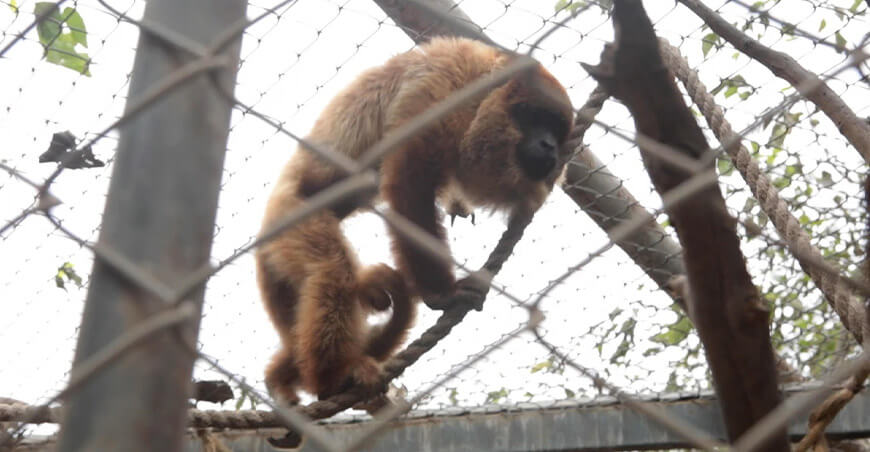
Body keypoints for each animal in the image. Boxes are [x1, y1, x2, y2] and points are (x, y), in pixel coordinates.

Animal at [255, 36, 574, 404]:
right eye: (534, 116)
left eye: (557, 129)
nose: (550, 147)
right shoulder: (445, 87)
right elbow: (410, 177)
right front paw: (442, 294)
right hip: (292, 218)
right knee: (332, 270)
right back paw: (331, 379)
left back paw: (283, 376)